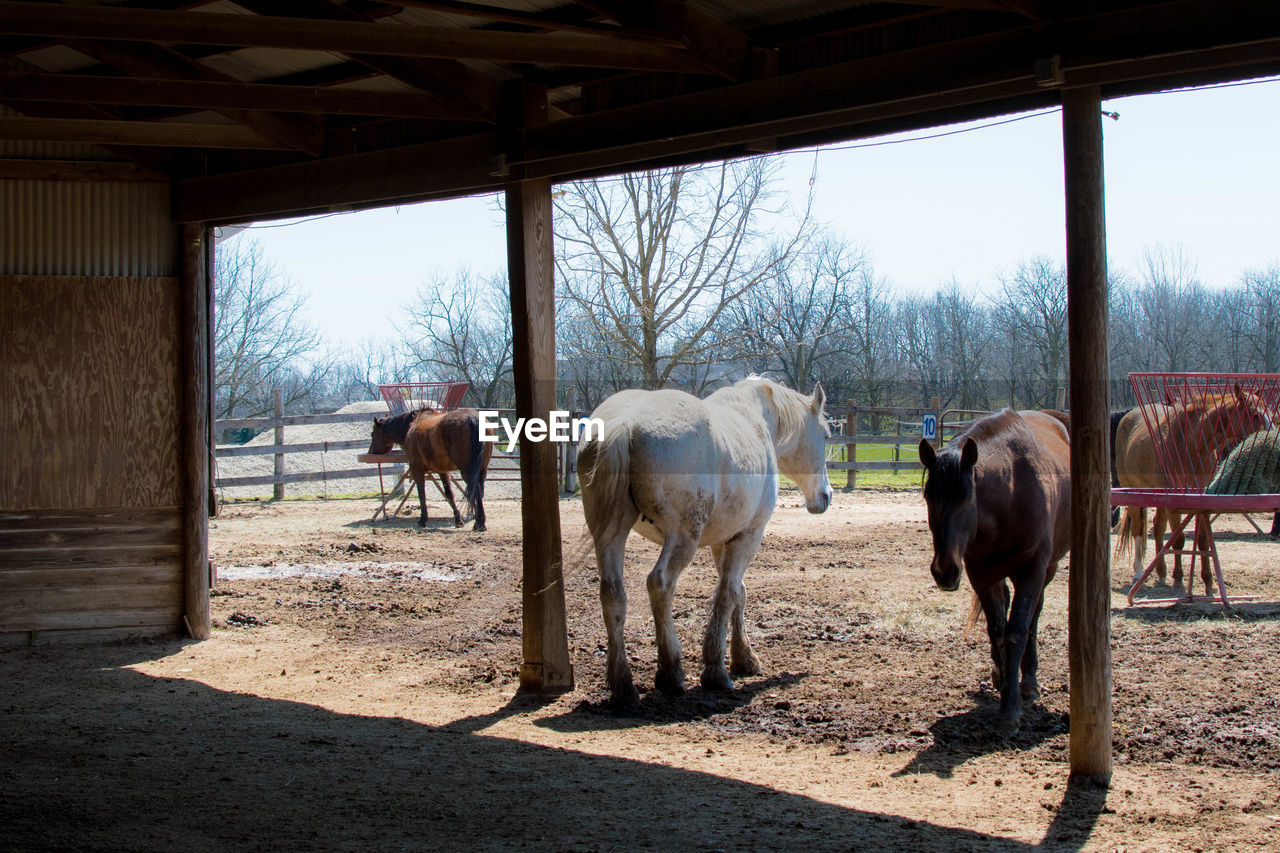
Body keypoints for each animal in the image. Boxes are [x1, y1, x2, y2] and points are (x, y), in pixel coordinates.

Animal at [578, 376, 829, 701]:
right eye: (826, 435)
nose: (824, 496)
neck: (756, 417)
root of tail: (625, 424)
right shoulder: (748, 536)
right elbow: (727, 594)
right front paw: (716, 670)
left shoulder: (723, 541)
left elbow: (739, 593)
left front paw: (744, 657)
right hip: (683, 538)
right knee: (660, 584)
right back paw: (671, 671)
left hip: (610, 534)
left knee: (612, 594)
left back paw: (623, 684)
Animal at [921, 409, 1070, 732]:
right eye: (928, 497)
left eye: (967, 499)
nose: (944, 572)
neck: (1010, 495)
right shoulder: (980, 573)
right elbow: (997, 629)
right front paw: (1003, 681)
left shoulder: (1033, 570)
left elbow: (1016, 631)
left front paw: (1010, 709)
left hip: (1047, 569)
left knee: (1033, 617)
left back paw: (1029, 681)